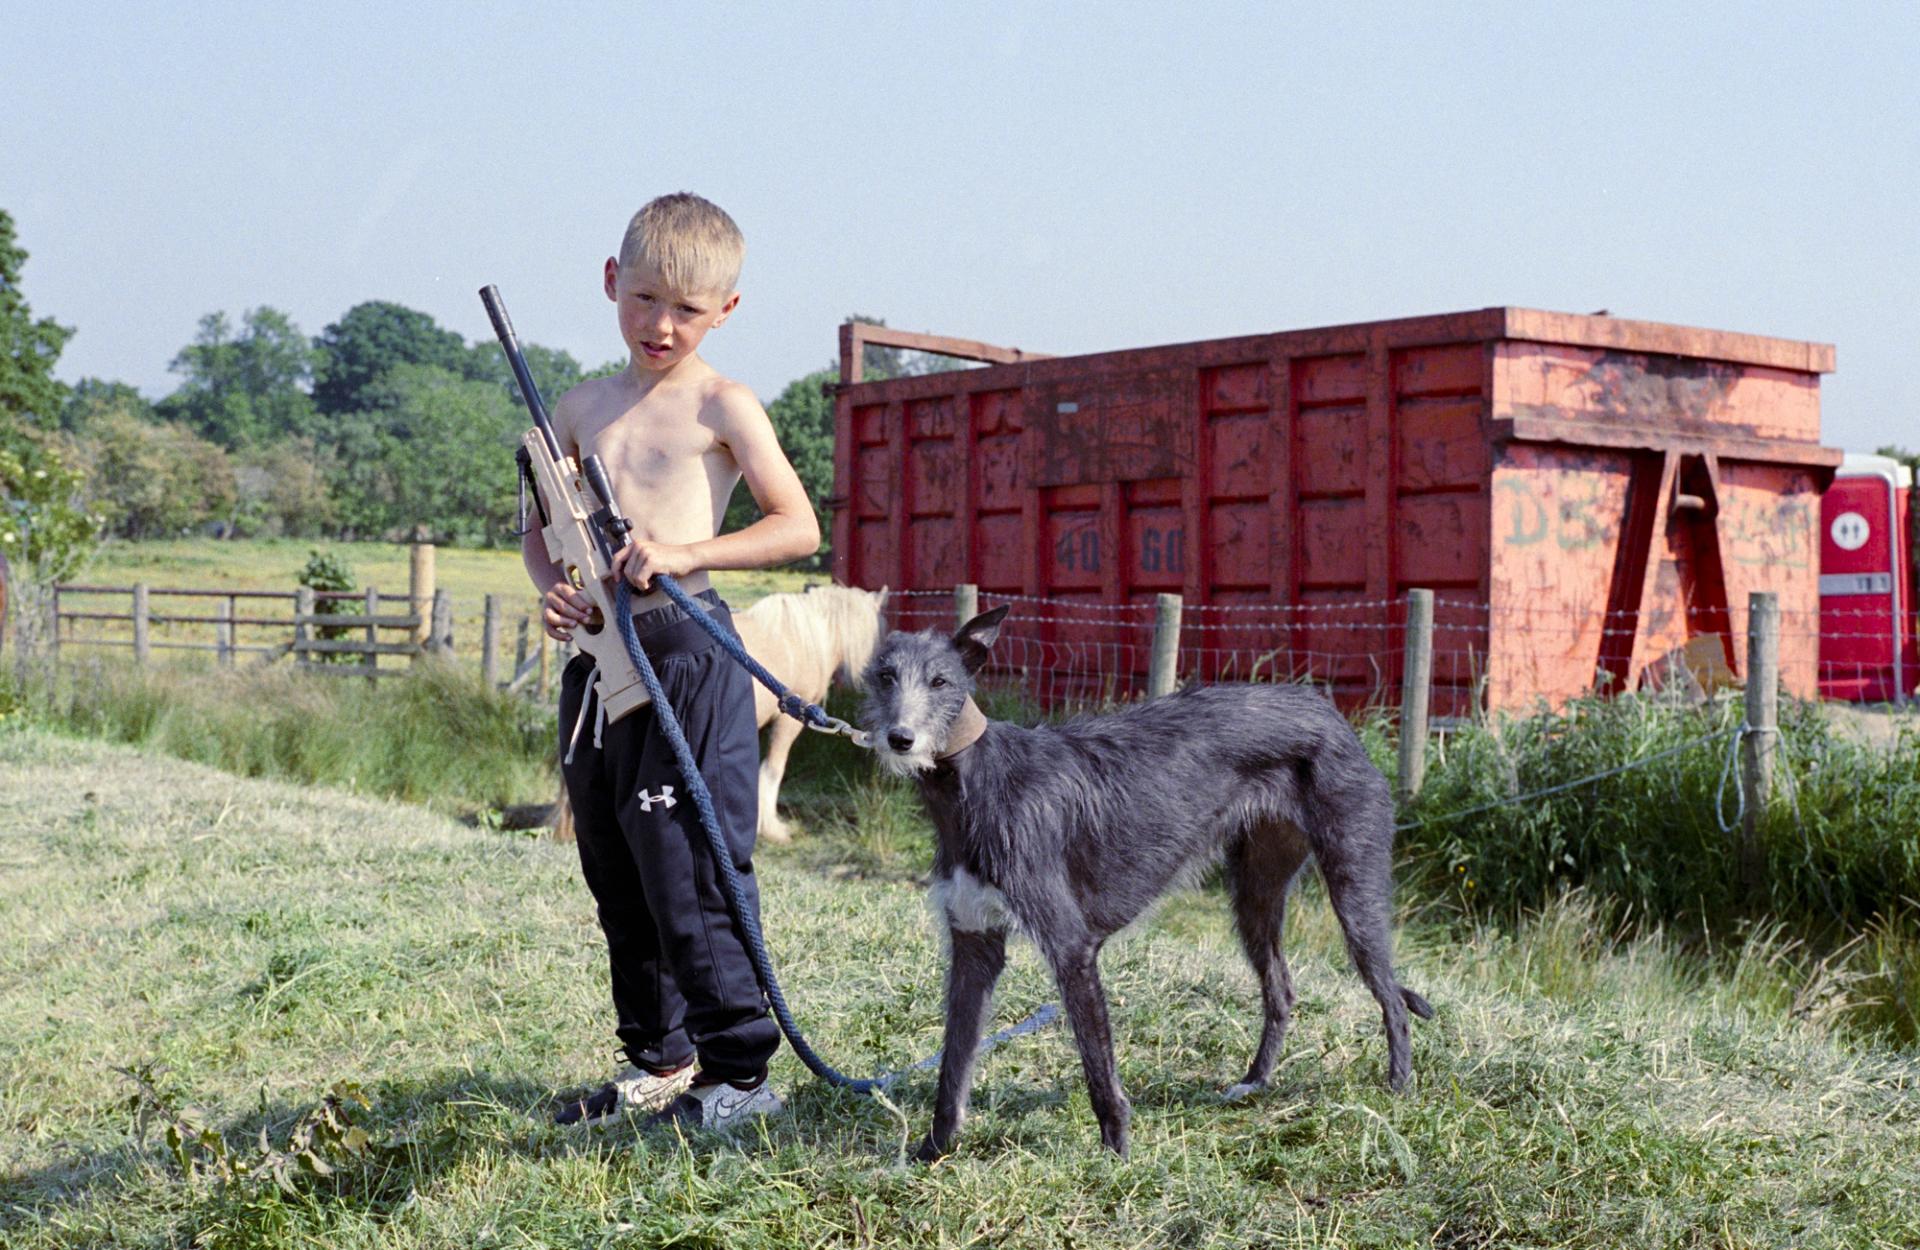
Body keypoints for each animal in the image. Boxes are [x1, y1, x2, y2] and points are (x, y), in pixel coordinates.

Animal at [864, 610, 1436, 1159]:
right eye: (885, 676)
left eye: (940, 681)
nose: (900, 740)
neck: (974, 782)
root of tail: (1328, 712)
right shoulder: (974, 944)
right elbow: (952, 1065)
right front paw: (932, 1151)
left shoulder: (1072, 948)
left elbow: (1099, 1069)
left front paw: (1117, 1155)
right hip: (1255, 895)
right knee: (1281, 989)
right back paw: (1255, 1082)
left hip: (1354, 887)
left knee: (1390, 996)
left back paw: (1399, 1086)